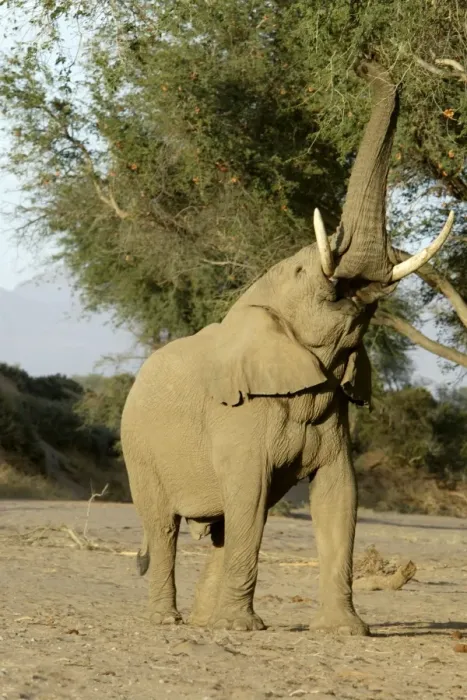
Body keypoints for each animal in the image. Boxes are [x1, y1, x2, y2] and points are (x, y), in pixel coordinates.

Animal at [121, 61, 453, 634]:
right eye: (302, 272)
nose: (378, 72)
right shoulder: (239, 416)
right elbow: (251, 498)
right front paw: (242, 628)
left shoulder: (336, 411)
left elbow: (339, 497)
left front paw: (347, 631)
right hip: (138, 447)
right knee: (164, 525)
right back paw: (171, 621)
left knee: (219, 527)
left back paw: (205, 621)